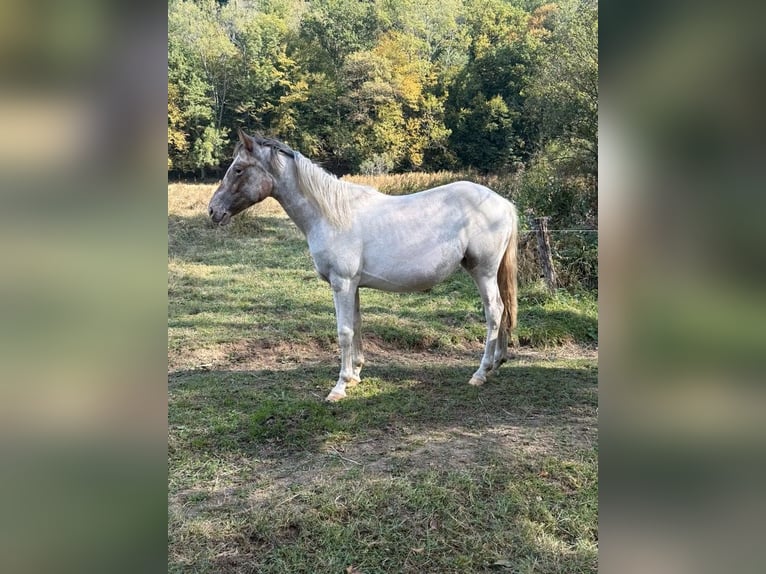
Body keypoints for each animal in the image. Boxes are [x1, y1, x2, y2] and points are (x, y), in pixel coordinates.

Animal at [208, 130, 519, 402]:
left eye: (238, 169)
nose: (213, 210)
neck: (330, 214)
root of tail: (504, 203)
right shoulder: (353, 285)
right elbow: (356, 325)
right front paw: (355, 374)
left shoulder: (342, 283)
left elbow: (344, 331)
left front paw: (340, 386)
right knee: (503, 309)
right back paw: (497, 363)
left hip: (483, 272)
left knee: (495, 311)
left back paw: (480, 373)